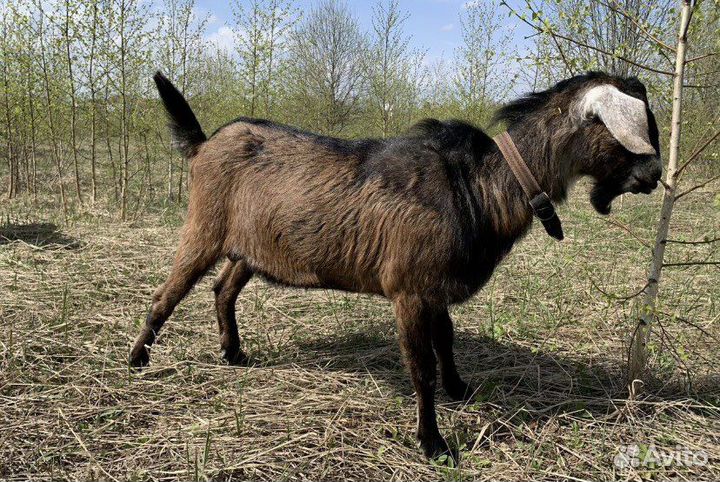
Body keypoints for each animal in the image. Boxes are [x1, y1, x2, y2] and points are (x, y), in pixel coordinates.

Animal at [130, 71, 662, 459]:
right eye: (631, 128)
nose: (654, 175)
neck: (481, 186)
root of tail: (205, 143)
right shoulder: (408, 288)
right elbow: (420, 366)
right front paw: (433, 442)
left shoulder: (435, 286)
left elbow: (446, 340)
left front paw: (459, 388)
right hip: (204, 227)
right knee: (167, 293)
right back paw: (138, 360)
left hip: (250, 247)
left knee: (222, 289)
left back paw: (234, 353)